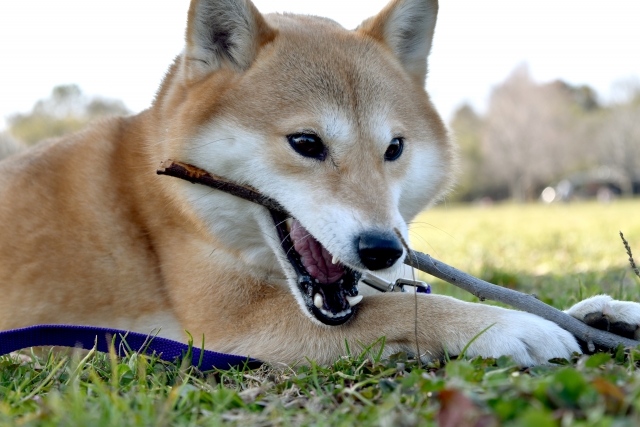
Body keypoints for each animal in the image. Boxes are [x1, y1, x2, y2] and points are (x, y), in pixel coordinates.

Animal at [1, 0, 640, 368]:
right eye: (307, 143)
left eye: (394, 149)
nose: (382, 250)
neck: (166, 200)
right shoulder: (230, 330)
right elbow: (405, 307)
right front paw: (506, 323)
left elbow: (405, 296)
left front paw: (601, 313)